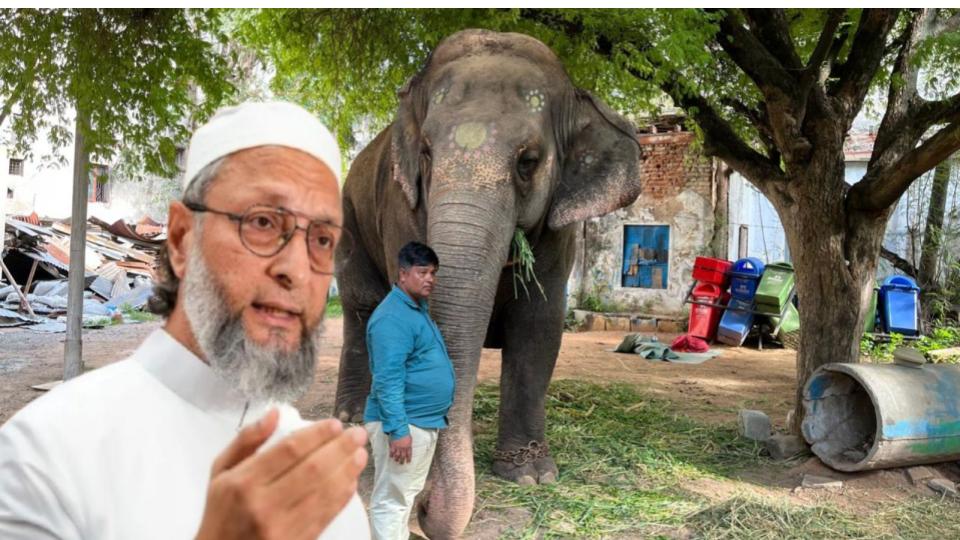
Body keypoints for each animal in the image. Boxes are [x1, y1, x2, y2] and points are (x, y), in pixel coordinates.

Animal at [334, 29, 642, 538]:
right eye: (426, 154)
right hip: (349, 219)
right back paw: (351, 420)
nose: (423, 509)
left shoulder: (560, 233)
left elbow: (538, 327)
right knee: (361, 310)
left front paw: (532, 476)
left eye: (529, 161)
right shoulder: (399, 203)